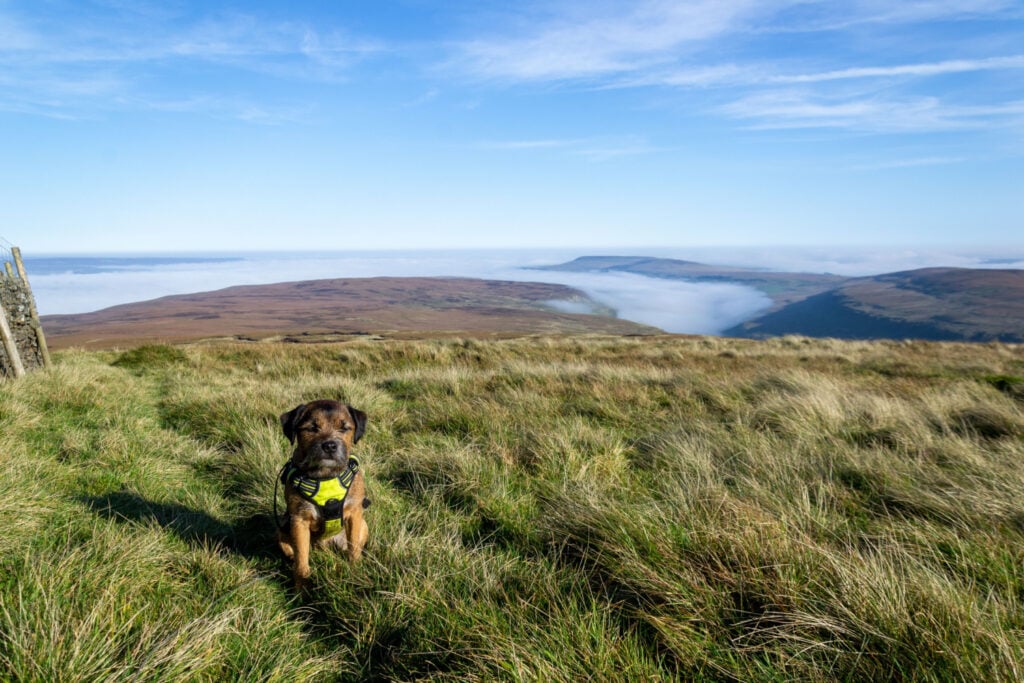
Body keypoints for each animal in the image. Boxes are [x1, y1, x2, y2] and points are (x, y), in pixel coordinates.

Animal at [278, 401, 370, 589]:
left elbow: (353, 549)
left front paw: (355, 574)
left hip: (364, 525)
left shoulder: (355, 514)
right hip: (282, 530)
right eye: (312, 428)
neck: (326, 477)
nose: (329, 445)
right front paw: (301, 591)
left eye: (344, 428)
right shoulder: (299, 521)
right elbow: (301, 562)